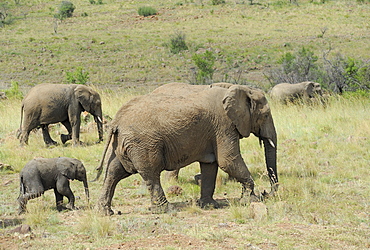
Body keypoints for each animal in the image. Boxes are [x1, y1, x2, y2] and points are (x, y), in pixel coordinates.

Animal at [95, 82, 278, 215]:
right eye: (265, 115)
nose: (267, 193)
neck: (240, 89)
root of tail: (117, 121)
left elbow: (210, 165)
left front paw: (209, 206)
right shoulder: (224, 125)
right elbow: (228, 161)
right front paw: (250, 200)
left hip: (123, 143)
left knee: (114, 171)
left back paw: (106, 212)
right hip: (143, 144)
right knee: (151, 173)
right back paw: (166, 210)